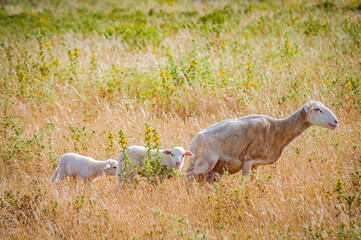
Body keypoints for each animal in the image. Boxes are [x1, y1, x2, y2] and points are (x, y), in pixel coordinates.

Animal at [184, 100, 338, 182]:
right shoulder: (248, 160)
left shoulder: (256, 164)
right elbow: (245, 183)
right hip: (206, 162)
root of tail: (193, 143)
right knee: (188, 176)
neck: (277, 130)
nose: (336, 121)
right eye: (317, 109)